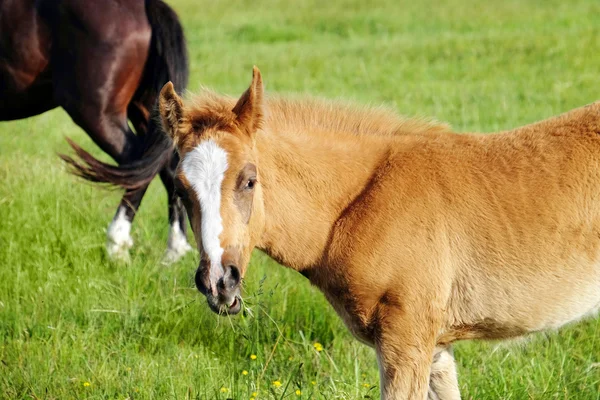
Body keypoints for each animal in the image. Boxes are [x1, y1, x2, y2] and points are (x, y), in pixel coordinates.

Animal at [0, 0, 191, 262]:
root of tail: (143, 6)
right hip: (148, 109)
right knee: (167, 166)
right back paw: (174, 252)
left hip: (97, 115)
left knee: (136, 167)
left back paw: (117, 244)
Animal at [152, 69, 596, 400]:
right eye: (181, 190)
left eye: (248, 180)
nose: (218, 281)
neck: (363, 201)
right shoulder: (437, 351)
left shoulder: (405, 343)